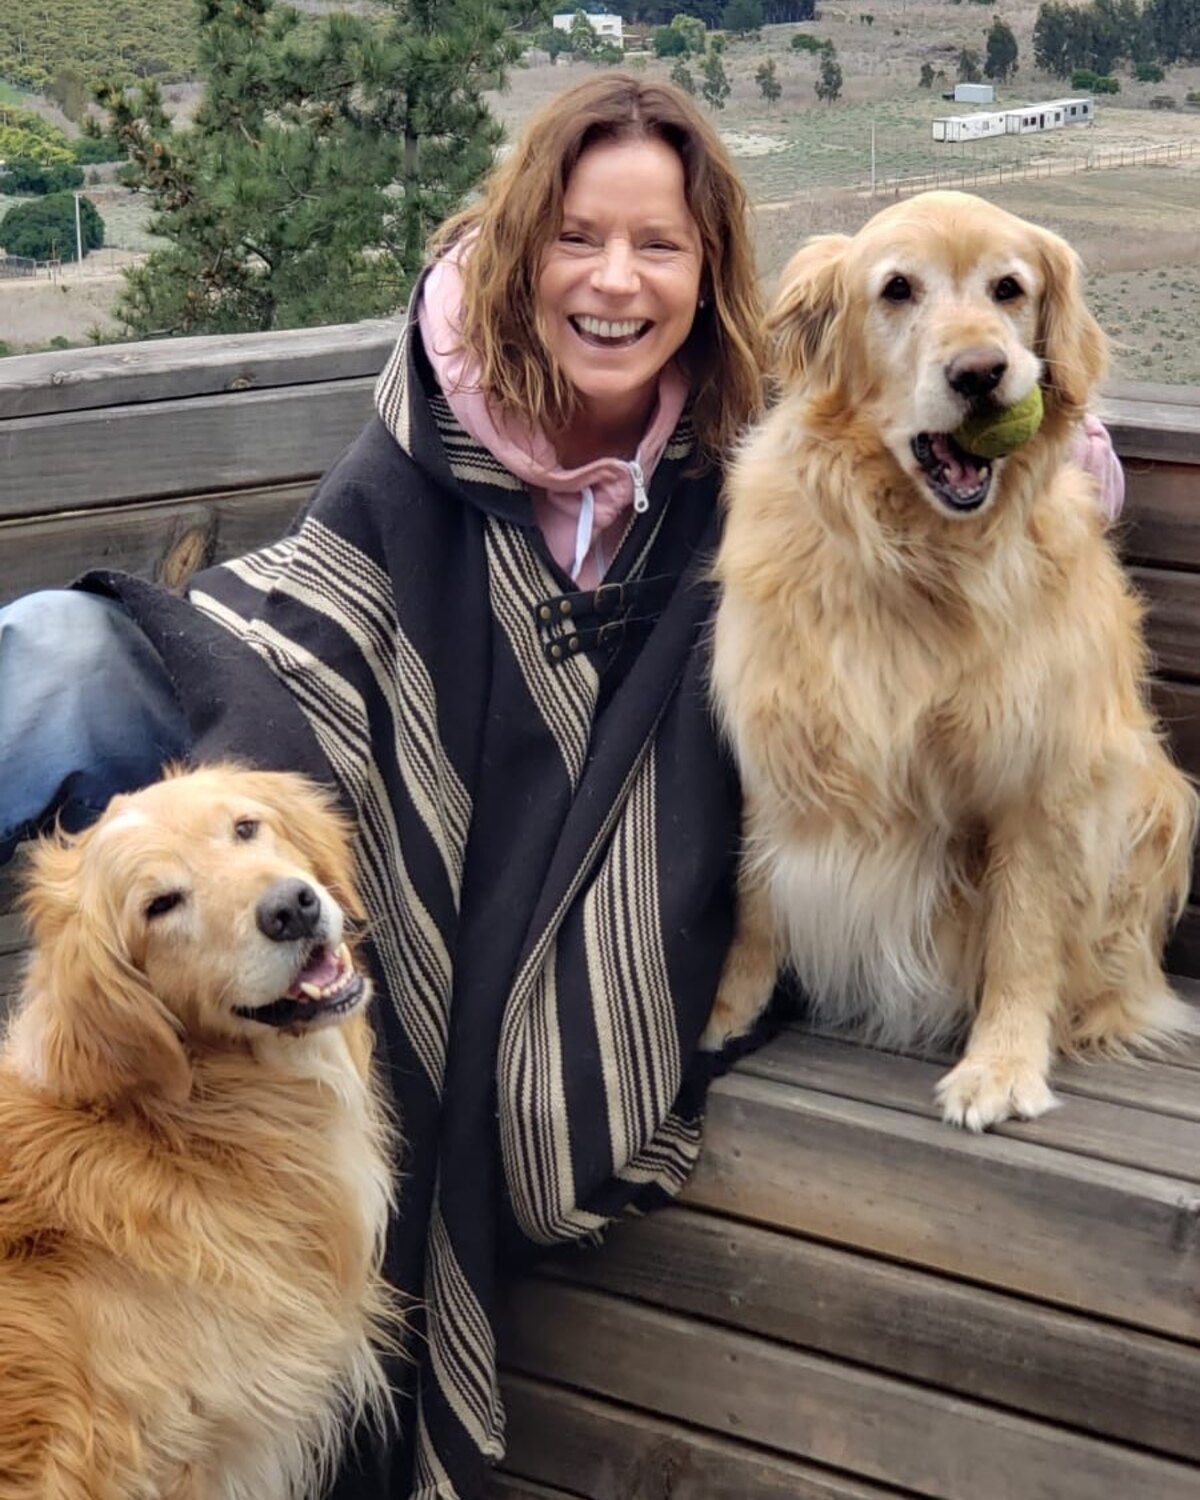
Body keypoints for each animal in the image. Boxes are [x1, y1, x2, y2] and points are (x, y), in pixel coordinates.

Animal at [702, 191, 1198, 1131]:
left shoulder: (1041, 774)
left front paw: (1001, 1066)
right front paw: (721, 1012)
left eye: (1010, 288)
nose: (980, 373)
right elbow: (751, 898)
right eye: (898, 289)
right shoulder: (776, 740)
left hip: (1153, 798)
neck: (920, 553)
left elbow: (1024, 933)